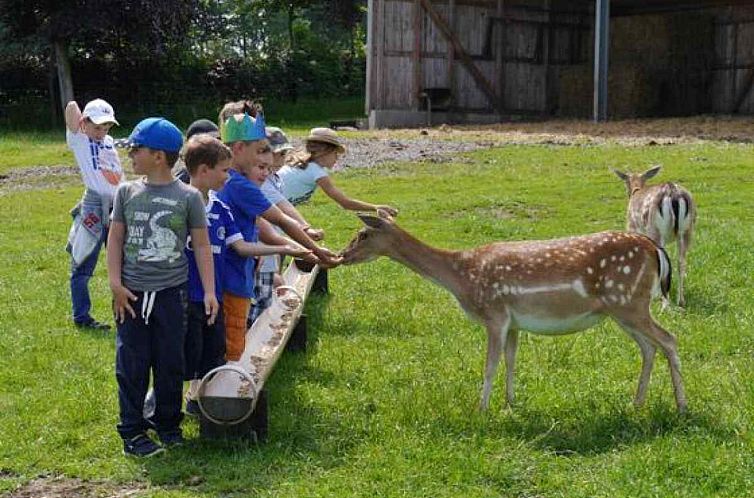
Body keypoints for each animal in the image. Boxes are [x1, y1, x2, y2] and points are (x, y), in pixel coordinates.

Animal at [340, 213, 688, 412]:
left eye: (363, 234)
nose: (343, 255)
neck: (462, 276)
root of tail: (655, 249)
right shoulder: (514, 323)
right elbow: (510, 360)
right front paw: (510, 402)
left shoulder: (494, 314)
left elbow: (490, 365)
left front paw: (480, 410)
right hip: (623, 310)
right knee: (649, 347)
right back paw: (637, 403)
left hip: (629, 303)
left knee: (669, 339)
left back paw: (682, 407)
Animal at [612, 166, 692, 308]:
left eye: (624, 182)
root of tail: (673, 192)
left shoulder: (632, 227)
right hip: (686, 231)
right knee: (681, 261)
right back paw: (680, 301)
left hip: (657, 230)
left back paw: (664, 303)